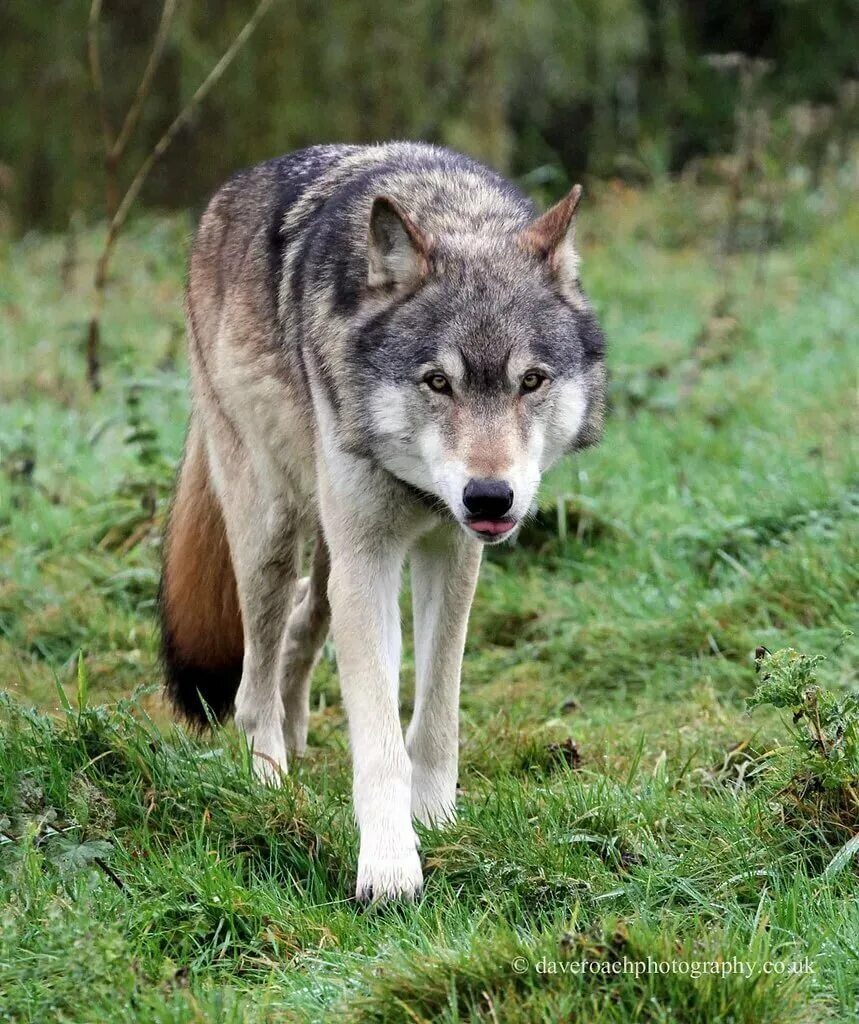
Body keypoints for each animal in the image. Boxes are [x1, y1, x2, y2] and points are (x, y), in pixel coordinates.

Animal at [159, 142, 606, 897]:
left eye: (531, 381)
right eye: (437, 382)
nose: (489, 498)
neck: (450, 210)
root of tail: (223, 196)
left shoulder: (451, 557)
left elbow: (435, 718)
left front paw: (437, 820)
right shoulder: (369, 562)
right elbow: (379, 740)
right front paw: (391, 866)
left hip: (327, 554)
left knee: (305, 622)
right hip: (271, 533)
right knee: (254, 682)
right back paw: (270, 786)